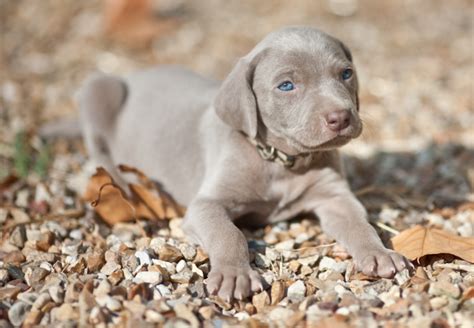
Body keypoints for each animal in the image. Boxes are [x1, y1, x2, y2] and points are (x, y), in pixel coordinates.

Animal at [77, 26, 412, 302]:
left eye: (345, 74)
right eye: (286, 85)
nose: (341, 117)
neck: (282, 162)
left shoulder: (335, 197)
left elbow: (358, 222)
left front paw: (379, 252)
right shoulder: (206, 205)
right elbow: (229, 234)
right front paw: (234, 274)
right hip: (98, 90)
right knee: (97, 148)